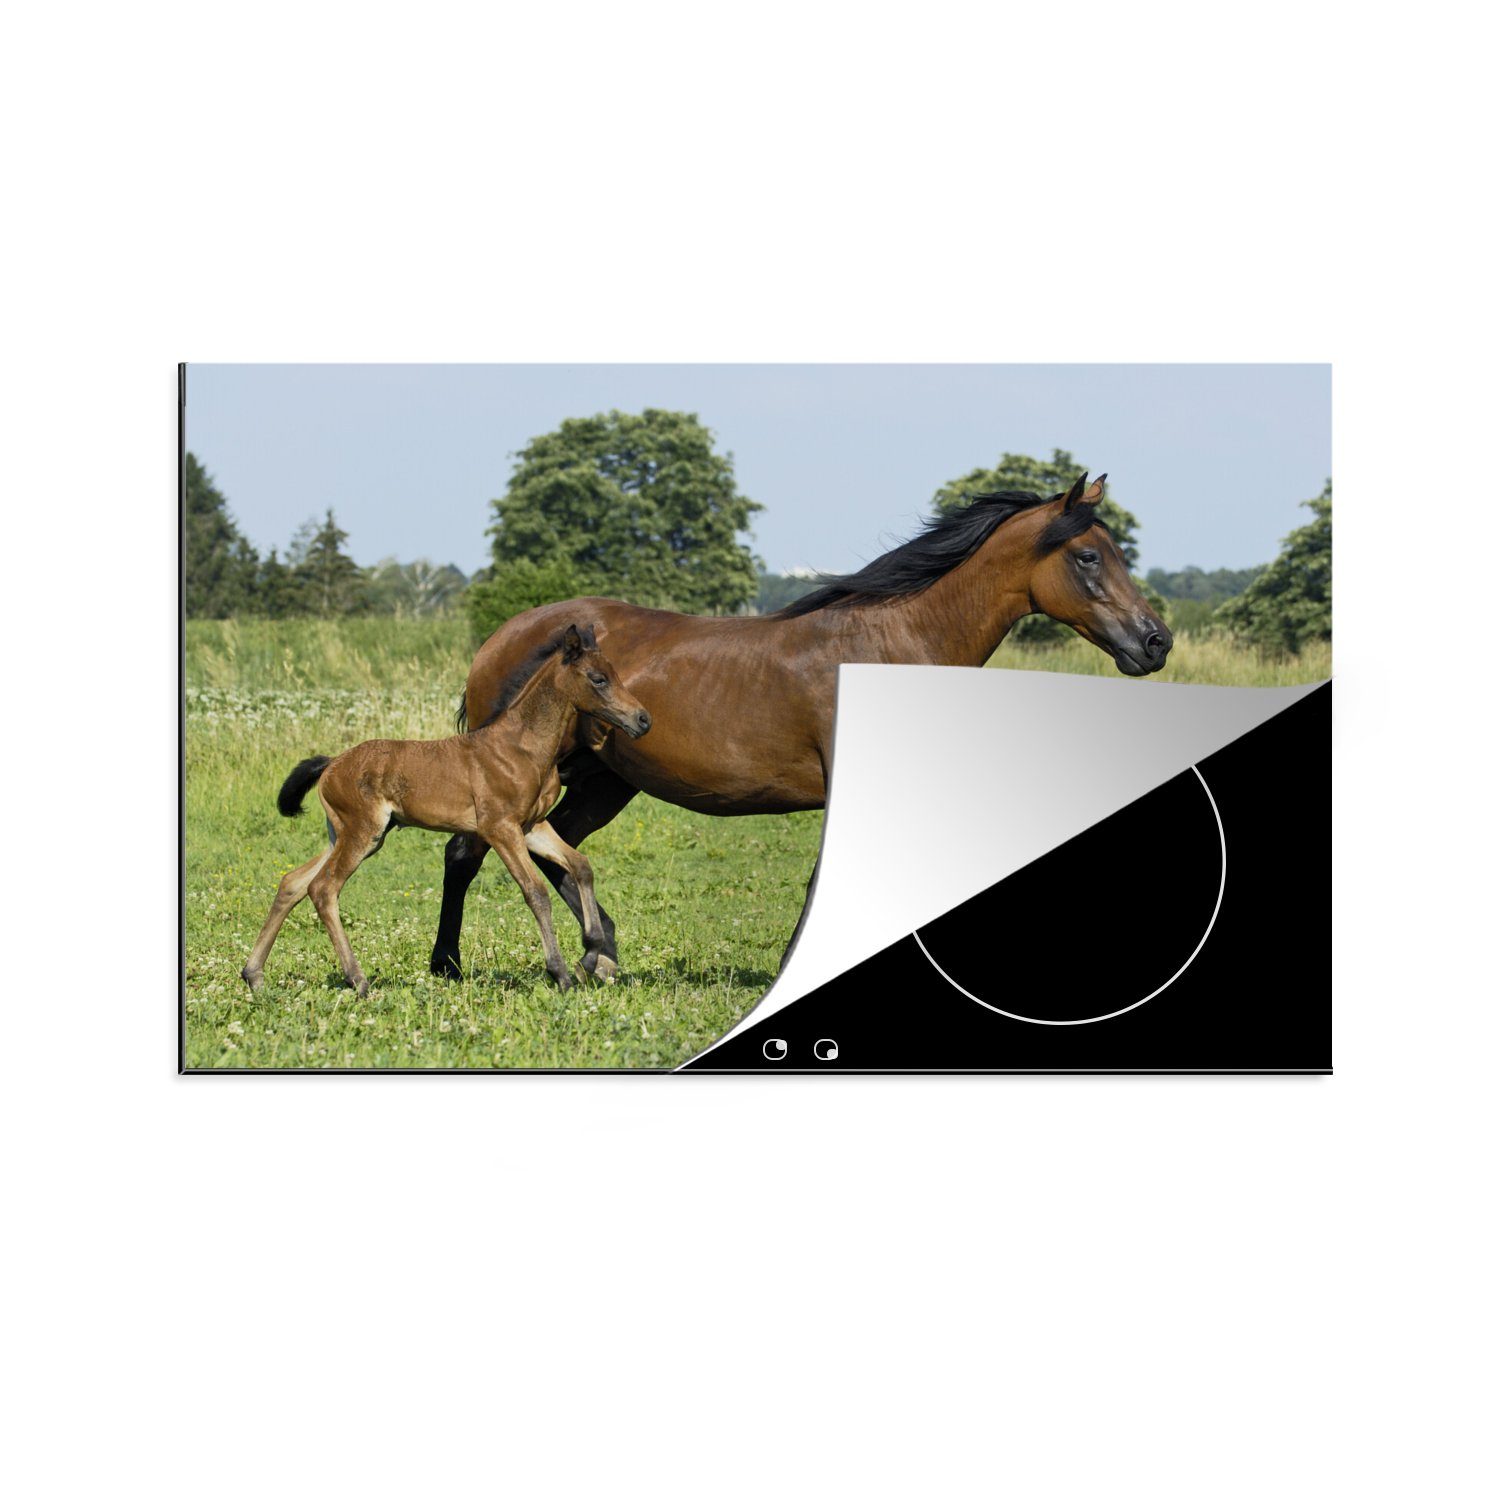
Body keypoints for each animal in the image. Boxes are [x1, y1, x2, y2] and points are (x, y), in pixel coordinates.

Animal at [241, 623, 652, 997]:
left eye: (617, 673)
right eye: (598, 679)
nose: (643, 719)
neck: (522, 746)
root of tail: (331, 764)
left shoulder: (532, 826)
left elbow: (581, 866)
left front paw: (592, 951)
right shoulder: (500, 828)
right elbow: (535, 891)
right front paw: (561, 974)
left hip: (344, 833)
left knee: (293, 882)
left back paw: (254, 976)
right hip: (363, 831)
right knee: (323, 888)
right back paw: (357, 980)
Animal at [430, 473, 1172, 981]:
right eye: (1088, 557)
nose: (1155, 641)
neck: (890, 647)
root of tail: (506, 635)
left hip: (601, 780)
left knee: (557, 850)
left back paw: (601, 955)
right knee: (469, 854)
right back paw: (451, 965)